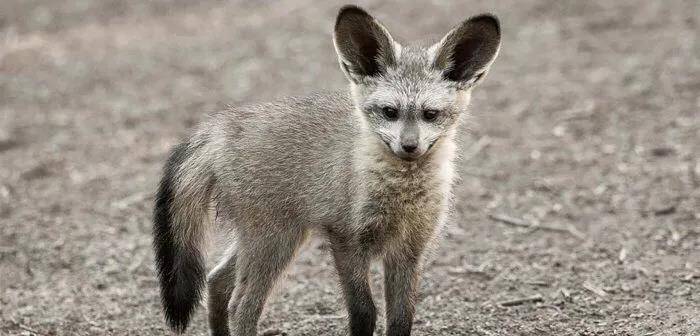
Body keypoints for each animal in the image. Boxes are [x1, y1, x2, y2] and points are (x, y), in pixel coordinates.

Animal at [155, 4, 500, 336]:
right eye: (390, 112)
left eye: (431, 114)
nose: (409, 147)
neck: (401, 196)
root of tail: (221, 124)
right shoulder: (346, 239)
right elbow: (364, 313)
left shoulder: (410, 248)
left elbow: (402, 319)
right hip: (276, 241)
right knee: (240, 306)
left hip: (270, 239)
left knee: (216, 280)